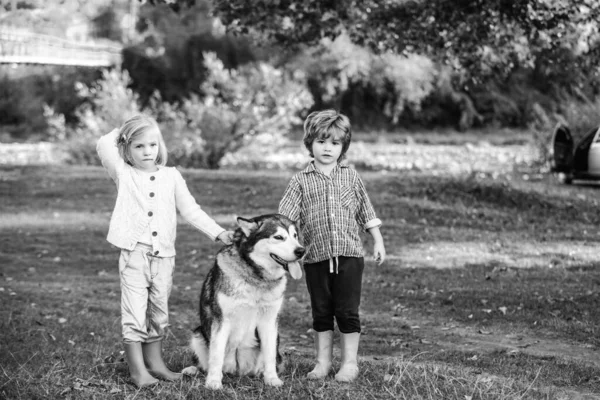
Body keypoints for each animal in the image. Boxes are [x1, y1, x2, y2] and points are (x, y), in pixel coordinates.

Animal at [182, 214, 304, 390]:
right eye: (279, 237)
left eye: (295, 236)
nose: (301, 251)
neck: (256, 278)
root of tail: (238, 372)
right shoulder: (221, 320)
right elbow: (216, 355)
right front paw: (213, 382)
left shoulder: (269, 321)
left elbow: (269, 355)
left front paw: (272, 379)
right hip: (198, 334)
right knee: (204, 365)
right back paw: (192, 370)